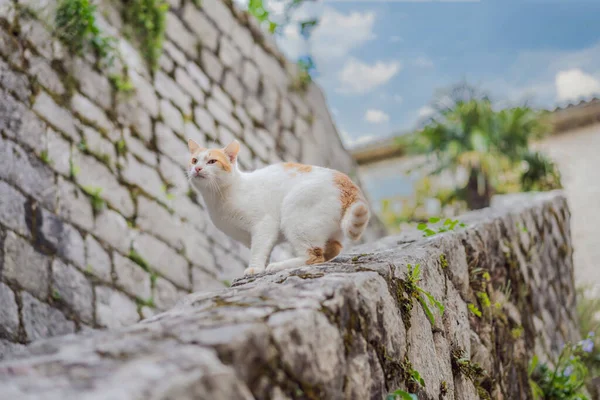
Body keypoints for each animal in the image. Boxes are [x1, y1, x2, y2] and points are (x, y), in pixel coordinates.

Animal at [186, 138, 370, 276]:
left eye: (212, 161)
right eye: (194, 160)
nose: (197, 168)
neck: (218, 197)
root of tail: (347, 183)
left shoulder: (264, 225)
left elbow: (258, 250)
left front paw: (255, 268)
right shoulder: (249, 237)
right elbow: (263, 250)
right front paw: (260, 266)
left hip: (295, 214)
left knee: (314, 256)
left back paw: (279, 266)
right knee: (330, 251)